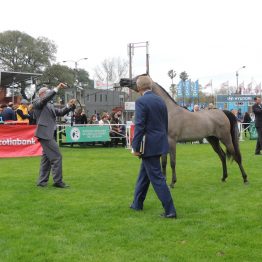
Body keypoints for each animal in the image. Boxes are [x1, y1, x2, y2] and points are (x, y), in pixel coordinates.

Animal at [119, 74, 249, 187]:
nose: (122, 80)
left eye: (136, 78)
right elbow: (164, 162)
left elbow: (172, 162)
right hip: (213, 140)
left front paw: (172, 183)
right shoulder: (164, 142)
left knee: (236, 156)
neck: (169, 111)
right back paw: (224, 177)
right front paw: (165, 180)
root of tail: (222, 112)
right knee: (222, 156)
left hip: (225, 138)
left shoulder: (171, 141)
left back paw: (245, 179)